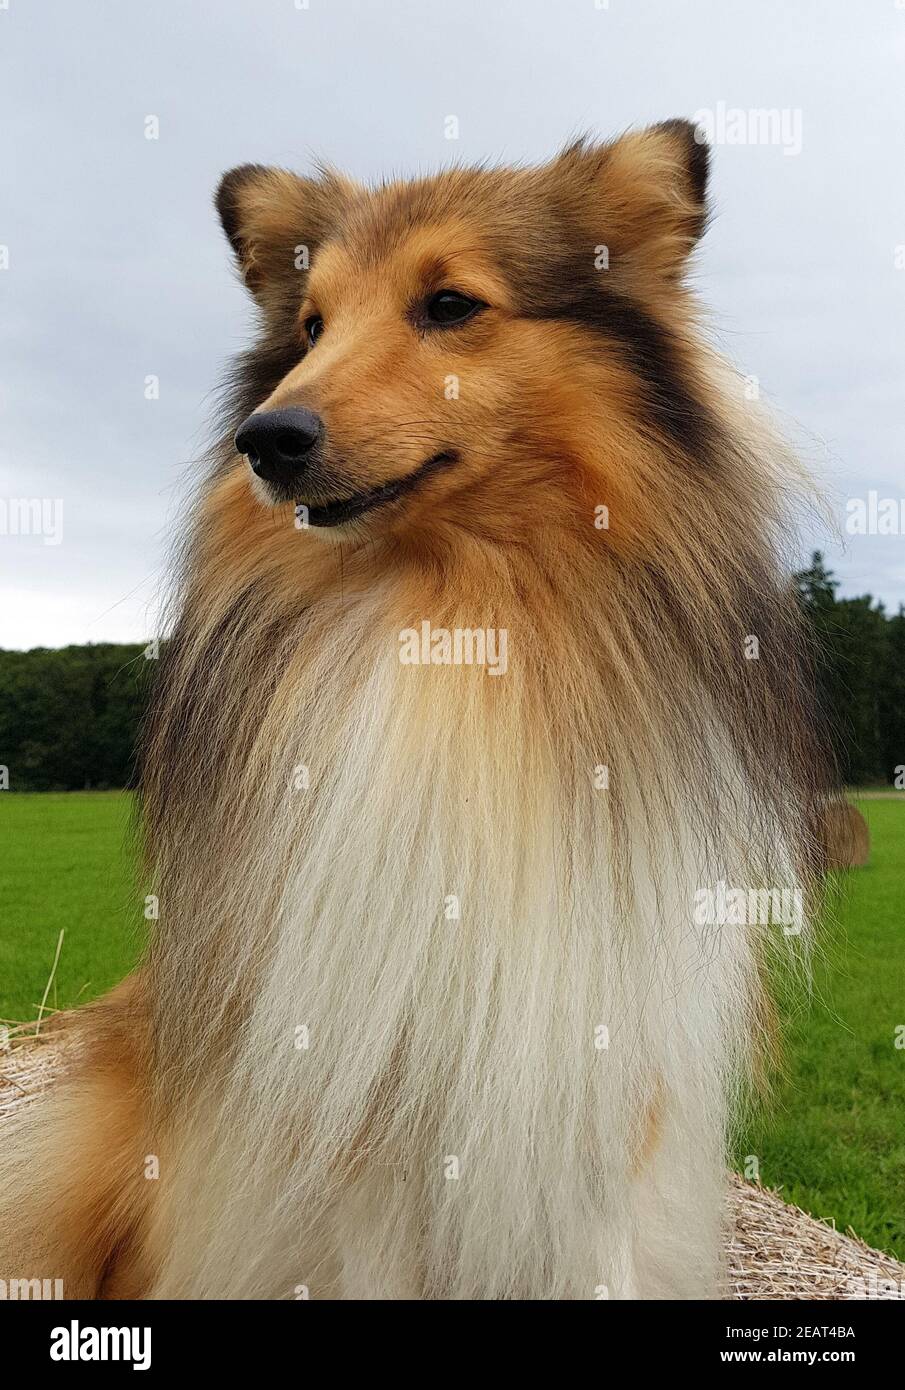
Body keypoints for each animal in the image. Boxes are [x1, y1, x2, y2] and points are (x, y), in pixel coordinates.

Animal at [0, 122, 828, 1301]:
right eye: (309, 327)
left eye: (448, 304)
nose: (266, 439)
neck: (451, 629)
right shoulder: (356, 1096)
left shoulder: (600, 1089)